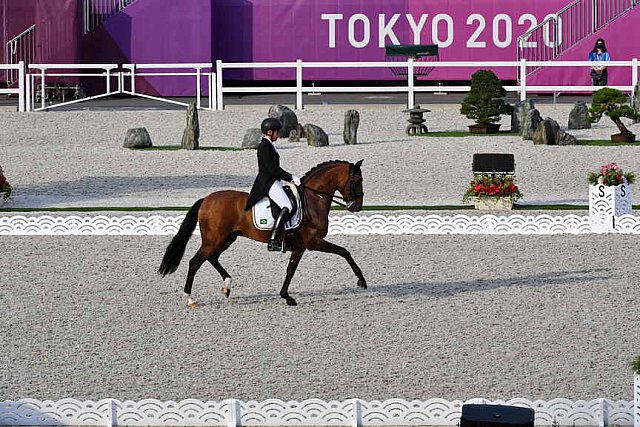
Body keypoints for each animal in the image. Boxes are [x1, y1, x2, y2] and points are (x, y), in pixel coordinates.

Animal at [159, 159, 364, 306]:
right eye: (356, 181)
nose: (357, 206)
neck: (314, 199)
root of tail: (207, 199)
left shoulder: (300, 246)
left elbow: (291, 270)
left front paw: (286, 296)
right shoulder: (312, 242)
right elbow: (344, 252)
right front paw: (361, 280)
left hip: (226, 238)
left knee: (212, 258)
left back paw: (227, 287)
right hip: (214, 239)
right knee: (195, 262)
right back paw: (190, 298)